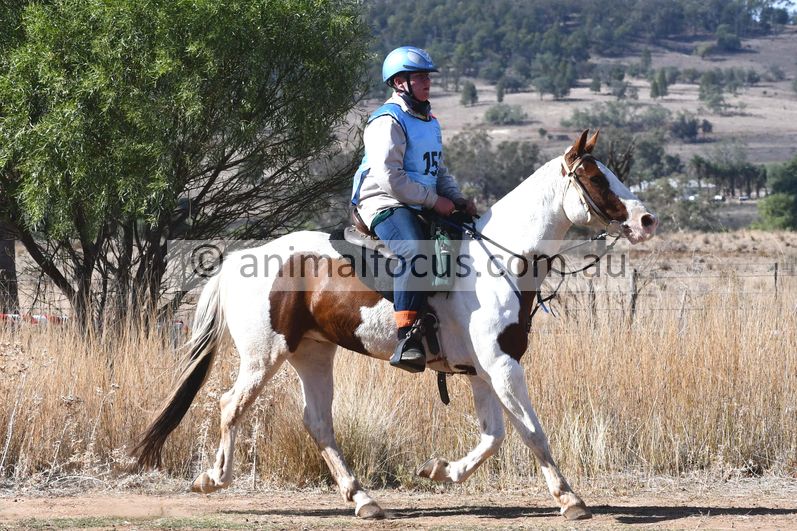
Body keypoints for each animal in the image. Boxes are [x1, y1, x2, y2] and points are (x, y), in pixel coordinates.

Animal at [133, 129, 658, 521]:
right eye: (596, 176)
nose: (647, 220)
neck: (499, 260)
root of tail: (238, 260)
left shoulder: (483, 371)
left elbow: (494, 437)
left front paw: (441, 471)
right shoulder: (503, 365)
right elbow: (531, 431)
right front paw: (570, 498)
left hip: (312, 354)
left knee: (318, 422)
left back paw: (363, 499)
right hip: (264, 357)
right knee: (230, 406)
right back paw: (212, 479)